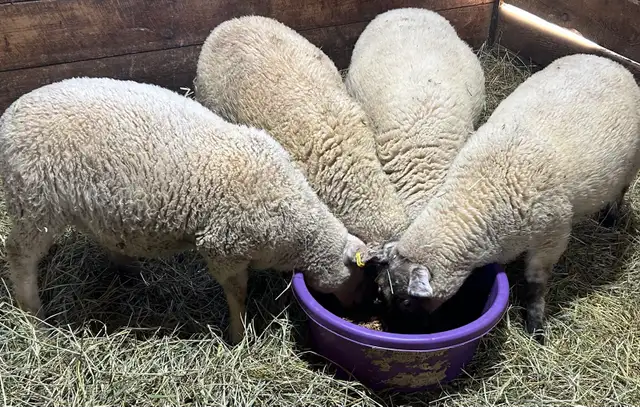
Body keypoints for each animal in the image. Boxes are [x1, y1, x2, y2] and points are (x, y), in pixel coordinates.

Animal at [0, 77, 379, 344]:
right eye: (361, 278)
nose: (360, 312)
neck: (297, 223)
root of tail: (11, 115)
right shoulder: (223, 248)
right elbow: (238, 294)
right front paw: (238, 336)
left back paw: (127, 269)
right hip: (36, 204)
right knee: (19, 255)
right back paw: (33, 314)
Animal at [362, 54, 640, 343]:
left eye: (406, 302)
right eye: (380, 290)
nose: (396, 331)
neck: (485, 190)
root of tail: (606, 60)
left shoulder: (553, 237)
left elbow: (536, 284)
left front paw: (535, 326)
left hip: (631, 166)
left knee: (621, 191)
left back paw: (611, 217)